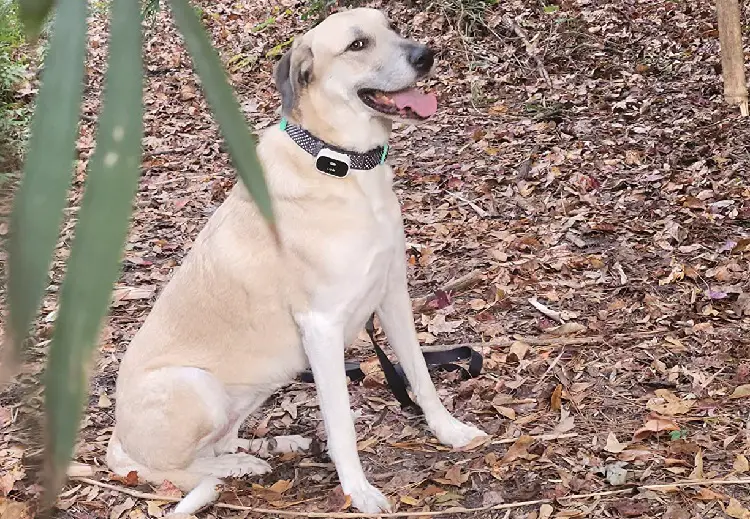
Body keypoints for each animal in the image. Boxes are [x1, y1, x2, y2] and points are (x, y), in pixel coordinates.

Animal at [108, 9, 490, 516]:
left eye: (391, 26)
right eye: (358, 44)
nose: (427, 55)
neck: (343, 165)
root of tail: (115, 438)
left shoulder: (392, 295)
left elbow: (421, 376)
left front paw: (449, 431)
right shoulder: (322, 326)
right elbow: (341, 425)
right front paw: (358, 491)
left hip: (267, 377)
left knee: (223, 440)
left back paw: (270, 447)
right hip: (196, 386)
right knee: (176, 468)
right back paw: (235, 469)